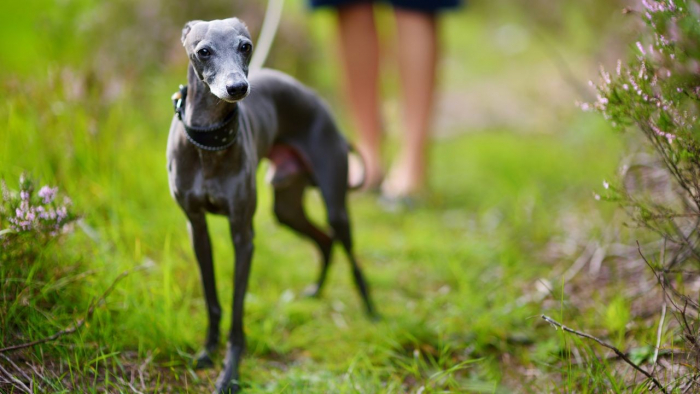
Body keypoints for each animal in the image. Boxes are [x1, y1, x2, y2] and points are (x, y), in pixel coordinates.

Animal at [167, 17, 378, 390]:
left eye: (246, 46)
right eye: (203, 51)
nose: (237, 88)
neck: (208, 143)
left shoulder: (243, 235)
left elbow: (237, 309)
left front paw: (231, 372)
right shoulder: (196, 228)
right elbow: (212, 300)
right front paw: (207, 351)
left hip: (335, 204)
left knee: (349, 254)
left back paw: (371, 310)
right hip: (286, 209)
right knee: (324, 240)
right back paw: (315, 292)